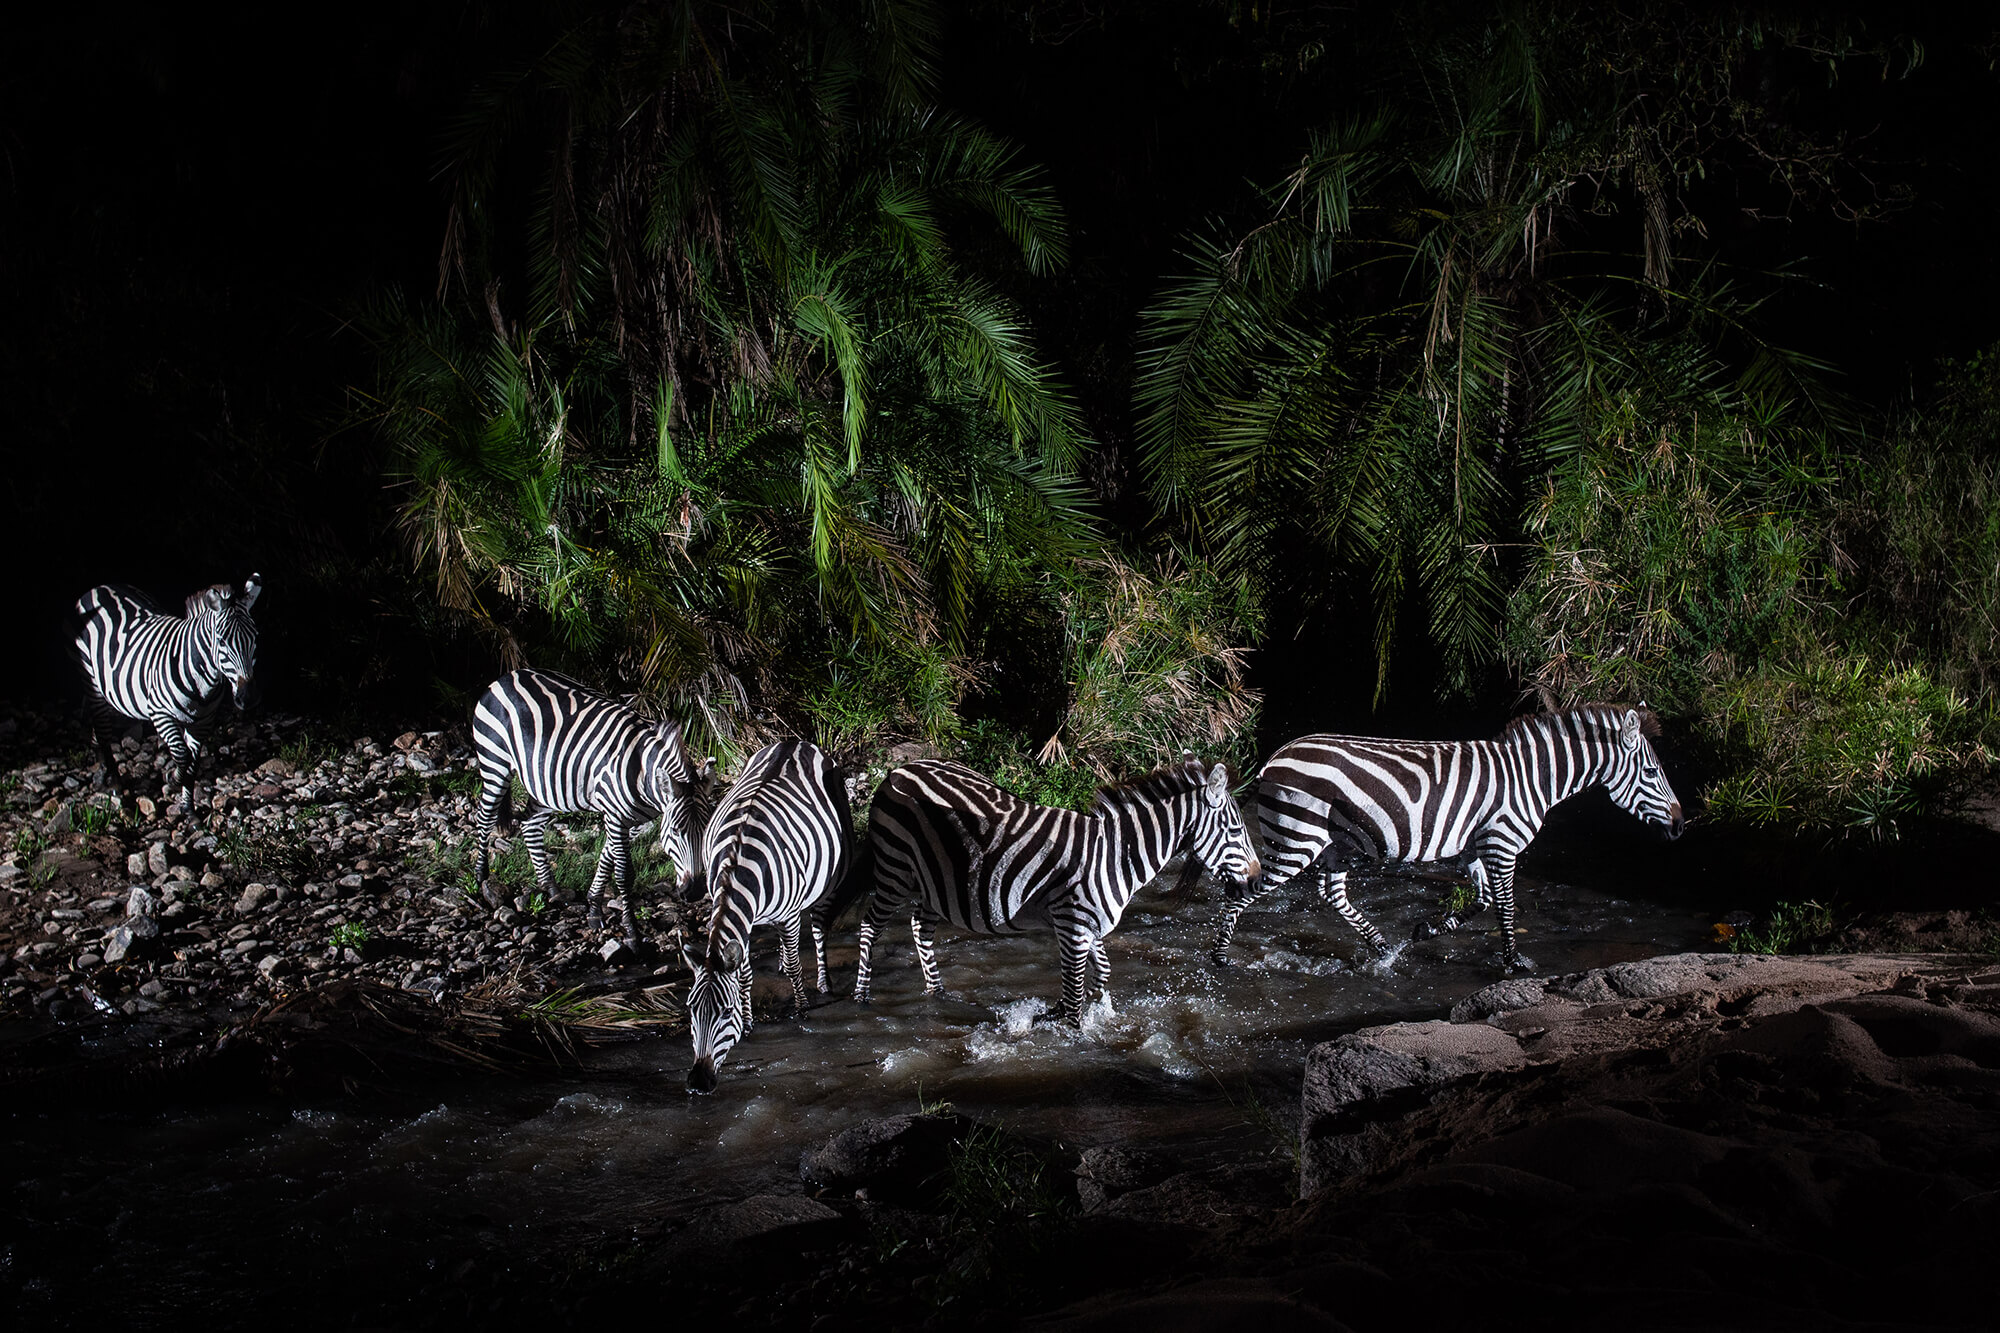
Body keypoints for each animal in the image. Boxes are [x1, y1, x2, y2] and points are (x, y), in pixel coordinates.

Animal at [75, 576, 264, 811]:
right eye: (221, 641)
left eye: (255, 637)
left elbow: (193, 764)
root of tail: (100, 587)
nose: (248, 697)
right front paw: (172, 779)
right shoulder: (160, 713)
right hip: (90, 680)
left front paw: (188, 811)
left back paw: (102, 774)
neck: (201, 680)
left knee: (98, 730)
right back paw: (115, 784)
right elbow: (183, 756)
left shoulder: (202, 722)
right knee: (102, 731)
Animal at [470, 668, 704, 947]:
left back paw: (550, 888)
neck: (643, 774)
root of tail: (508, 675)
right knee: (484, 818)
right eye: (676, 832)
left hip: (544, 781)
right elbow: (623, 873)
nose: (694, 893)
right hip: (495, 762)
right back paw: (481, 878)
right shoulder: (615, 816)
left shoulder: (623, 819)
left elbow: (606, 857)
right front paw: (632, 932)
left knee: (529, 824)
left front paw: (593, 909)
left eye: (706, 832)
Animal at [684, 739, 854, 1094]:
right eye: (691, 1011)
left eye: (725, 1012)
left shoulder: (788, 915)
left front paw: (802, 1010)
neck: (739, 864)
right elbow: (745, 974)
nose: (698, 1083)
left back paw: (823, 982)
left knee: (819, 927)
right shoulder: (743, 923)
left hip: (830, 877)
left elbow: (795, 966)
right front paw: (749, 1023)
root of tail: (796, 741)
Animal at [843, 756, 1258, 1024]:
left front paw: (1089, 1015)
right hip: (895, 870)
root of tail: (898, 770)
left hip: (937, 881)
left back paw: (938, 993)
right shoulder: (1072, 925)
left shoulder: (1089, 925)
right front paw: (1074, 1037)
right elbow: (1073, 1001)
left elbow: (1100, 977)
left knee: (919, 927)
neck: (1114, 856)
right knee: (870, 926)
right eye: (1237, 830)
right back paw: (861, 998)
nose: (1256, 881)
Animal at [1210, 705, 1685, 972]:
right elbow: (1507, 906)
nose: (1682, 825)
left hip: (1337, 843)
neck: (1531, 779)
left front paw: (1426, 931)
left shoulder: (1474, 848)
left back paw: (1383, 948)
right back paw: (1219, 959)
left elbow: (1484, 901)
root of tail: (1276, 756)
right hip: (1297, 839)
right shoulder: (1502, 842)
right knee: (1243, 890)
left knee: (1332, 894)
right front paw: (1514, 963)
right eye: (1652, 772)